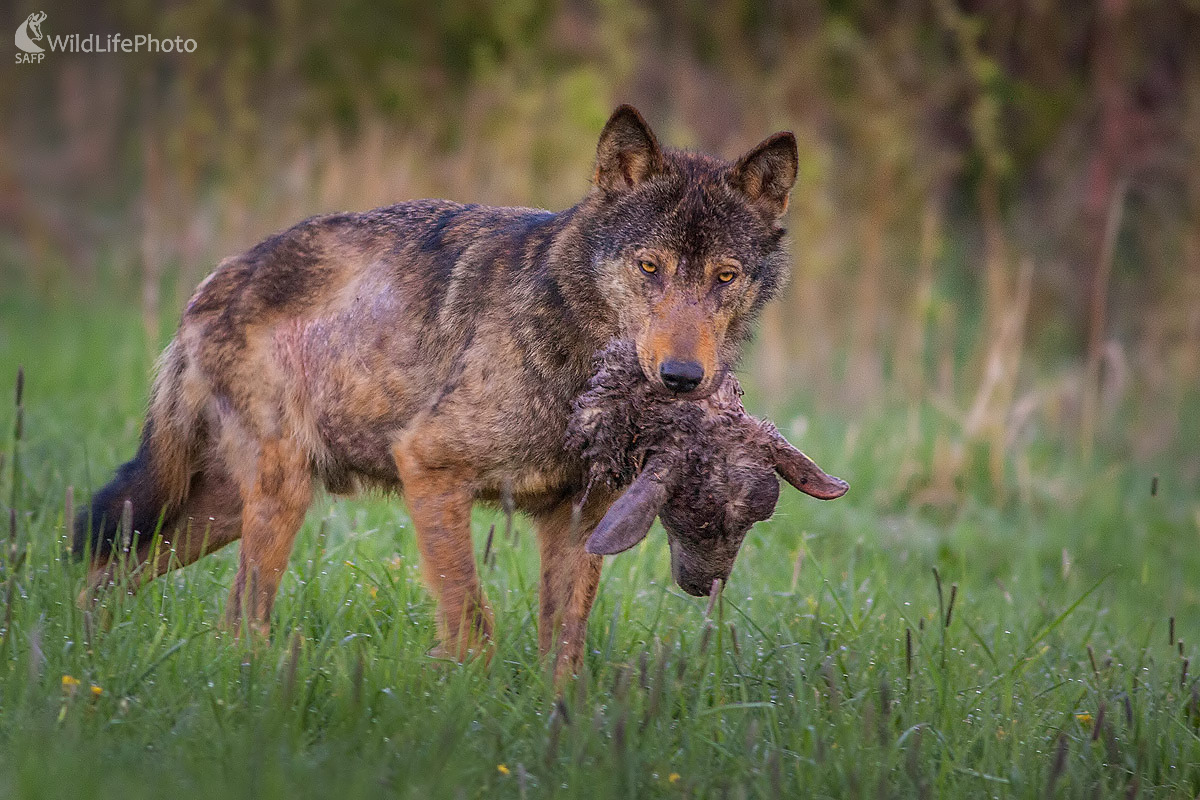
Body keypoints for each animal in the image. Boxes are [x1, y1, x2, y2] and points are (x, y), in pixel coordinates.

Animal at [79, 104, 801, 681]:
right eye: (650, 267)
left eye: (725, 276)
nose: (682, 377)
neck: (573, 355)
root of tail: (211, 281)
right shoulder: (429, 468)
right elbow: (472, 622)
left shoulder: (579, 518)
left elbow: (564, 648)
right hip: (277, 496)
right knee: (236, 616)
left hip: (226, 507)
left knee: (111, 572)